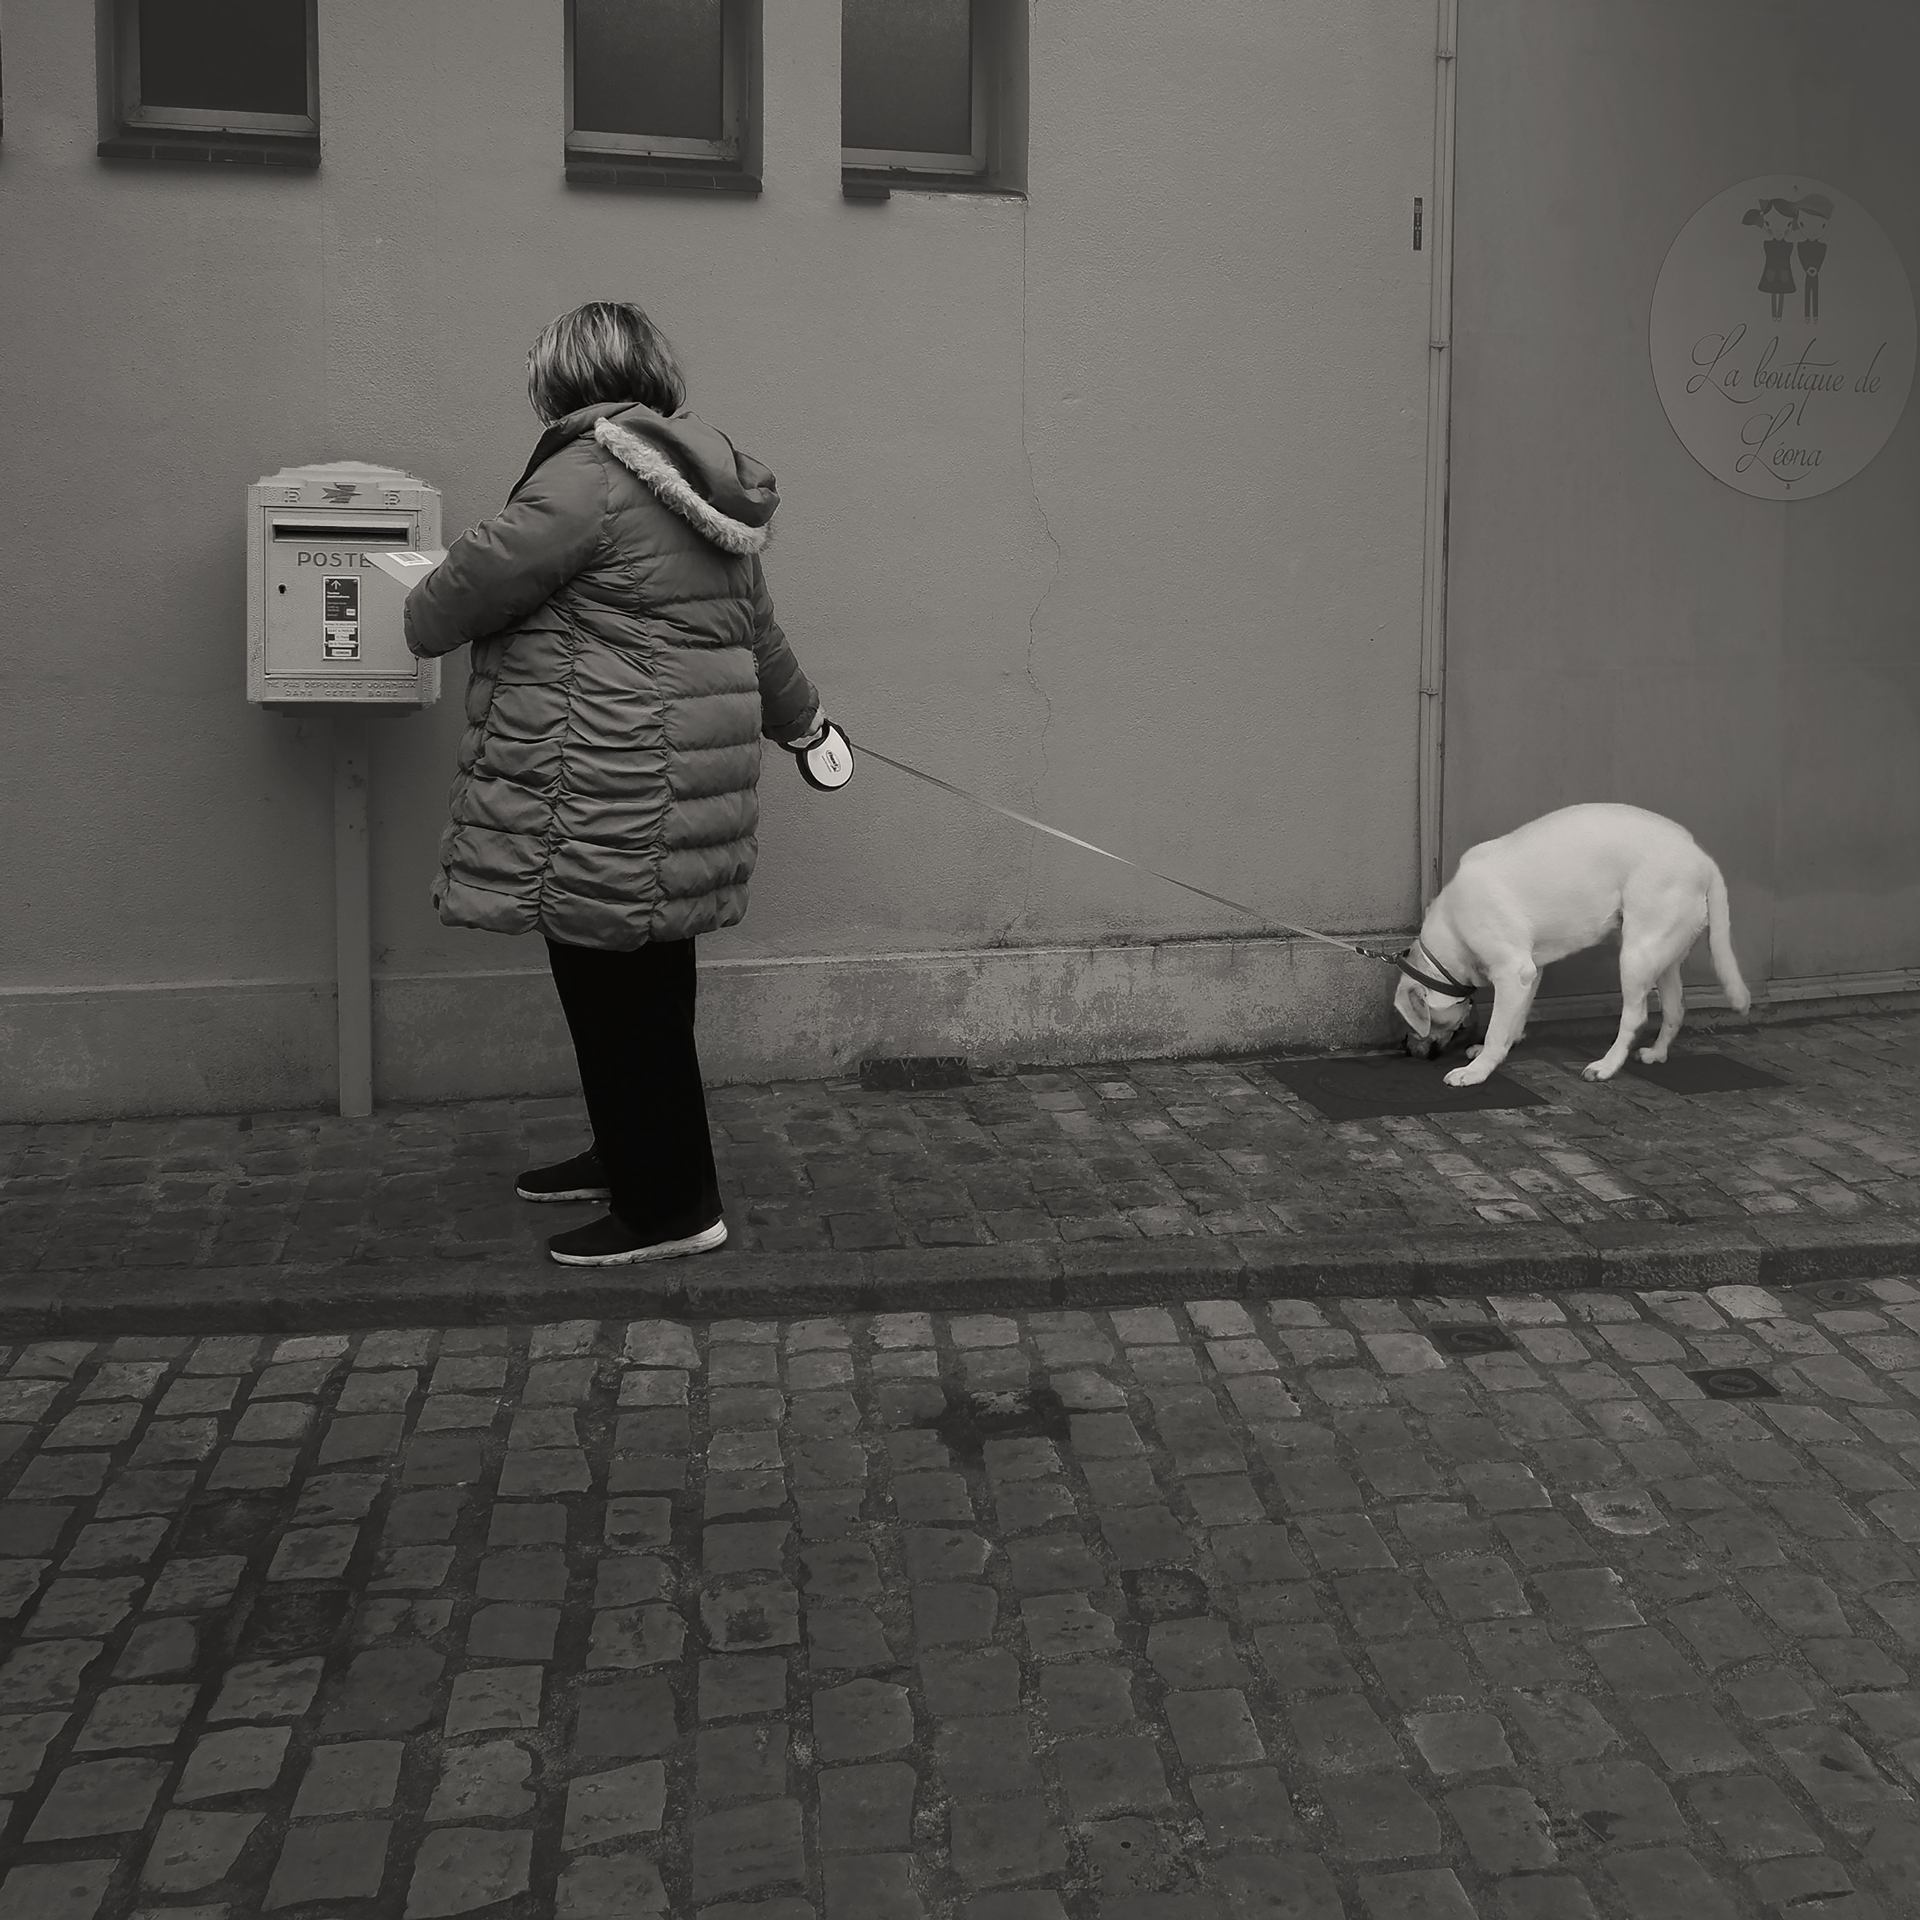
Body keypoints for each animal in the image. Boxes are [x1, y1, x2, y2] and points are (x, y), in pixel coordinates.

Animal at [1405, 802, 1751, 1090]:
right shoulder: (1530, 973)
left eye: (1420, 1022)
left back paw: (1606, 1066)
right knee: (1675, 1009)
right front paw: (1502, 1046)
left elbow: (1495, 1029)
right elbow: (1514, 1019)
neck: (1452, 926)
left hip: (1636, 956)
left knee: (1635, 1016)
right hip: (1662, 956)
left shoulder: (1512, 972)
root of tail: (1701, 857)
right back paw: (1657, 1053)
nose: (1407, 1050)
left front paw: (1477, 1070)